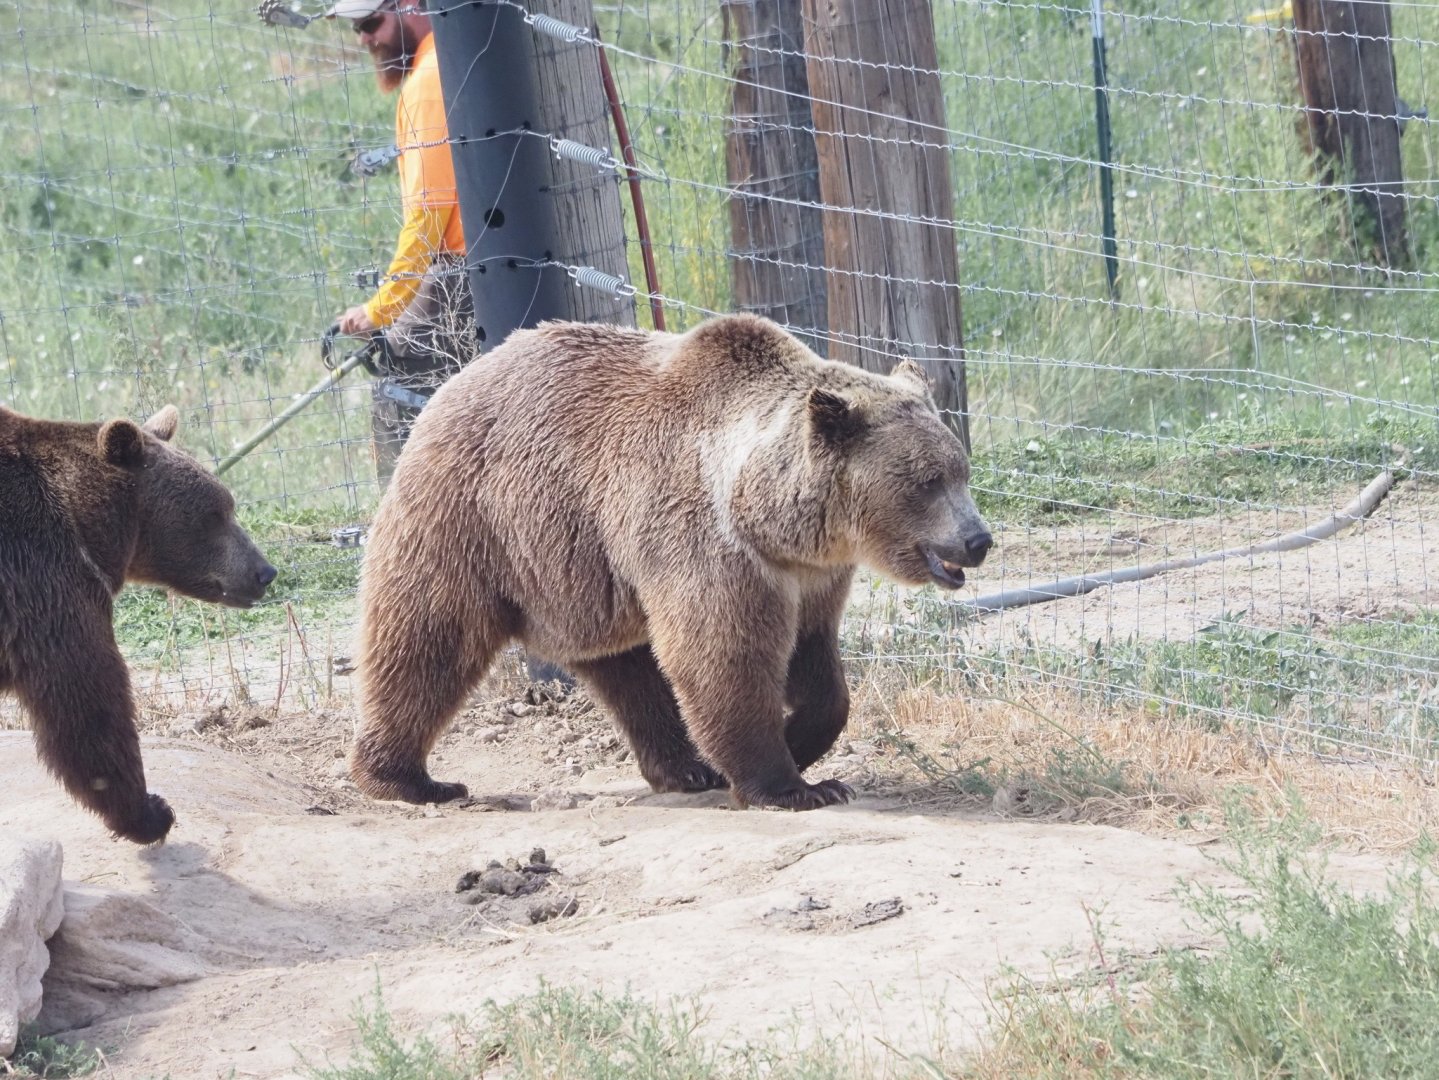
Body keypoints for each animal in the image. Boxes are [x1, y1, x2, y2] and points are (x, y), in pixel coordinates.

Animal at [0, 404, 277, 843]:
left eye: (227, 506)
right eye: (215, 513)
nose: (264, 572)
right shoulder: (43, 580)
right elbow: (86, 697)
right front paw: (149, 813)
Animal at [350, 314, 992, 811]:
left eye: (961, 469)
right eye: (927, 481)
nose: (977, 539)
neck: (771, 516)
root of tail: (450, 383)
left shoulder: (811, 576)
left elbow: (815, 666)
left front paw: (801, 741)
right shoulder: (711, 547)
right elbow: (723, 657)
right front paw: (794, 785)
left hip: (586, 574)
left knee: (629, 671)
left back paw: (685, 767)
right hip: (470, 520)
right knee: (427, 638)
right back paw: (408, 779)